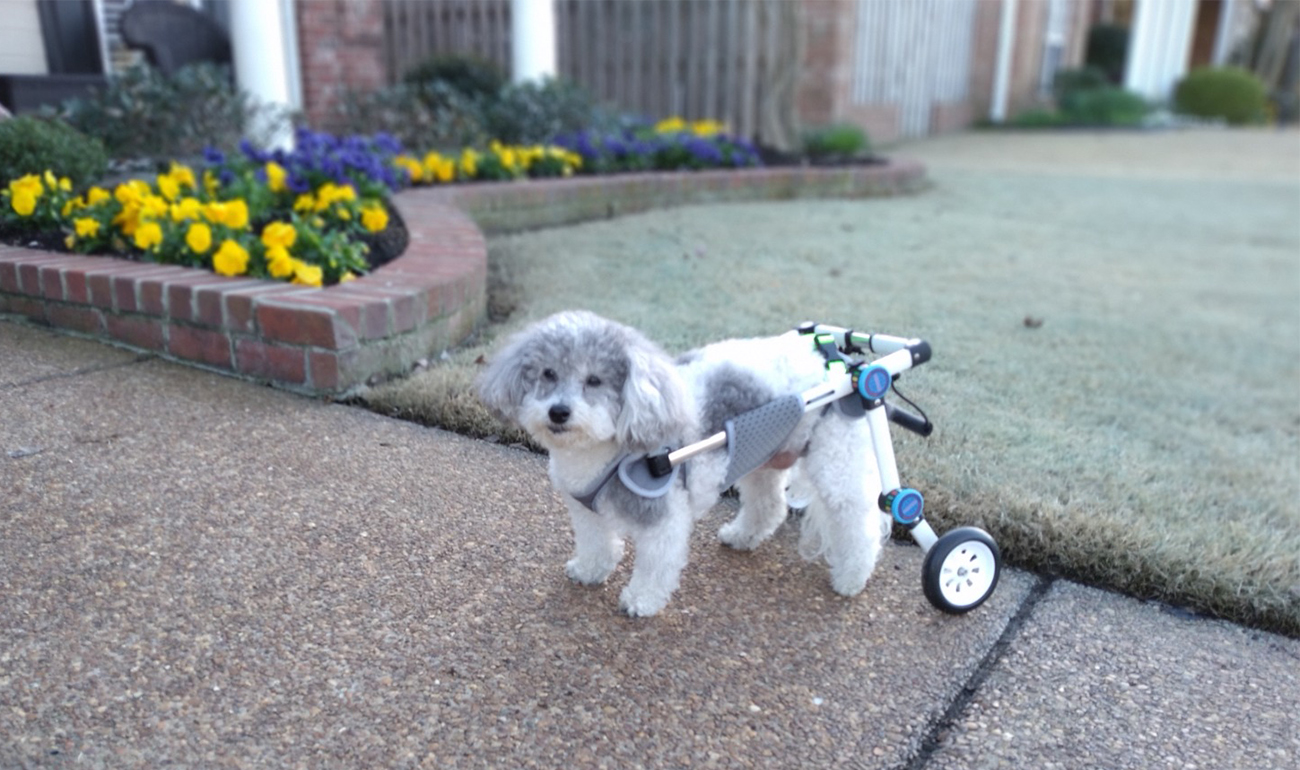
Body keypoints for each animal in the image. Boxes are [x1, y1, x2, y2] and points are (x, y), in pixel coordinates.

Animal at [473, 309, 889, 616]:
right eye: (548, 373)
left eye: (594, 380)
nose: (558, 412)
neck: (604, 449)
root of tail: (837, 361)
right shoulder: (585, 511)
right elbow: (595, 544)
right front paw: (590, 571)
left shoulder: (663, 519)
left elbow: (656, 565)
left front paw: (641, 601)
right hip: (762, 453)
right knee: (769, 505)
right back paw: (743, 536)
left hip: (836, 461)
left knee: (858, 522)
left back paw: (852, 577)